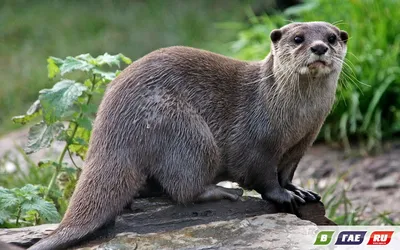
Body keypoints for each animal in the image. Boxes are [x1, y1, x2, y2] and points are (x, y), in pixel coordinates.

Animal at [28, 22, 346, 250]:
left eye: (332, 38)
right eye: (298, 38)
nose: (319, 47)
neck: (294, 116)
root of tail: (109, 131)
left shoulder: (303, 143)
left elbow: (287, 172)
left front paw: (299, 190)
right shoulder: (258, 143)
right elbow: (263, 176)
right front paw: (283, 196)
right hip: (183, 131)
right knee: (183, 188)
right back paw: (223, 192)